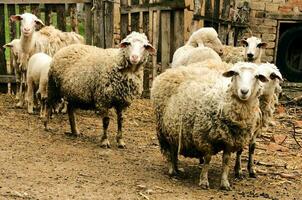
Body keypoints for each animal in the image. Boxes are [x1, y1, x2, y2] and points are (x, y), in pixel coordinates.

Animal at [151, 61, 268, 190]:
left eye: (257, 76)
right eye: (235, 73)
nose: (244, 91)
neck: (223, 101)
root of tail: (168, 71)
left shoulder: (230, 140)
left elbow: (226, 161)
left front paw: (224, 183)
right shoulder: (204, 136)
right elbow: (207, 159)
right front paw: (203, 181)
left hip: (173, 128)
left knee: (174, 148)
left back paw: (177, 169)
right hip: (161, 128)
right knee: (168, 149)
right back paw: (172, 170)